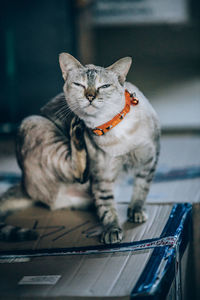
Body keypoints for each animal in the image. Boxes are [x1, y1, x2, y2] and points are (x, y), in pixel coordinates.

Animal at [0, 52, 159, 243]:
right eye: (79, 85)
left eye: (104, 86)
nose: (90, 96)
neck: (115, 131)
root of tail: (24, 183)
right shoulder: (102, 176)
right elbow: (107, 207)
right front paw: (112, 230)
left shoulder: (149, 160)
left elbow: (141, 190)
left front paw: (136, 211)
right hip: (35, 124)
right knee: (78, 173)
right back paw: (76, 128)